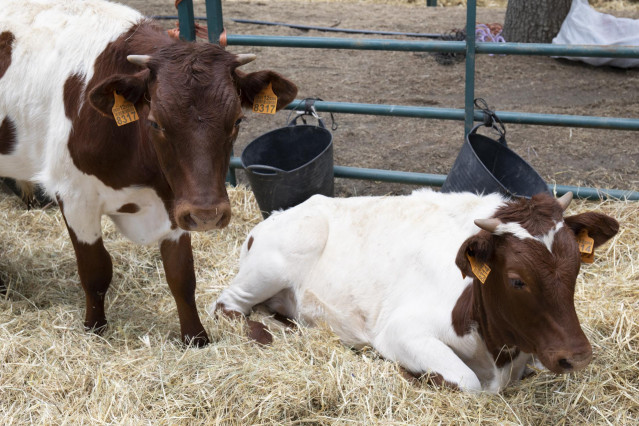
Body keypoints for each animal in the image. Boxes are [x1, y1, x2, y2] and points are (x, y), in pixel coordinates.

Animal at [0, 0, 298, 346]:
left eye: (237, 120)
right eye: (155, 122)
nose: (208, 215)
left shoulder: (177, 203)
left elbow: (181, 275)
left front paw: (195, 338)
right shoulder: (74, 196)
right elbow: (95, 270)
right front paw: (95, 329)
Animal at [215, 190, 620, 392]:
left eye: (576, 266)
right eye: (517, 279)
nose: (577, 357)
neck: (497, 352)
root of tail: (277, 214)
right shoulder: (401, 331)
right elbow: (468, 382)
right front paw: (411, 374)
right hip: (272, 265)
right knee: (226, 306)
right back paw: (265, 333)